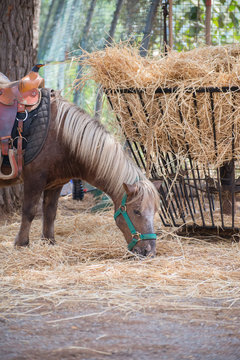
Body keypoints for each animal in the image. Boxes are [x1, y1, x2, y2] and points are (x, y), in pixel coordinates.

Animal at [1, 91, 161, 258]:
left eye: (155, 211)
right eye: (136, 211)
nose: (149, 251)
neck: (60, 136)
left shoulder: (56, 183)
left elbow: (50, 212)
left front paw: (49, 242)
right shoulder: (34, 179)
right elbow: (29, 211)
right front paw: (22, 244)